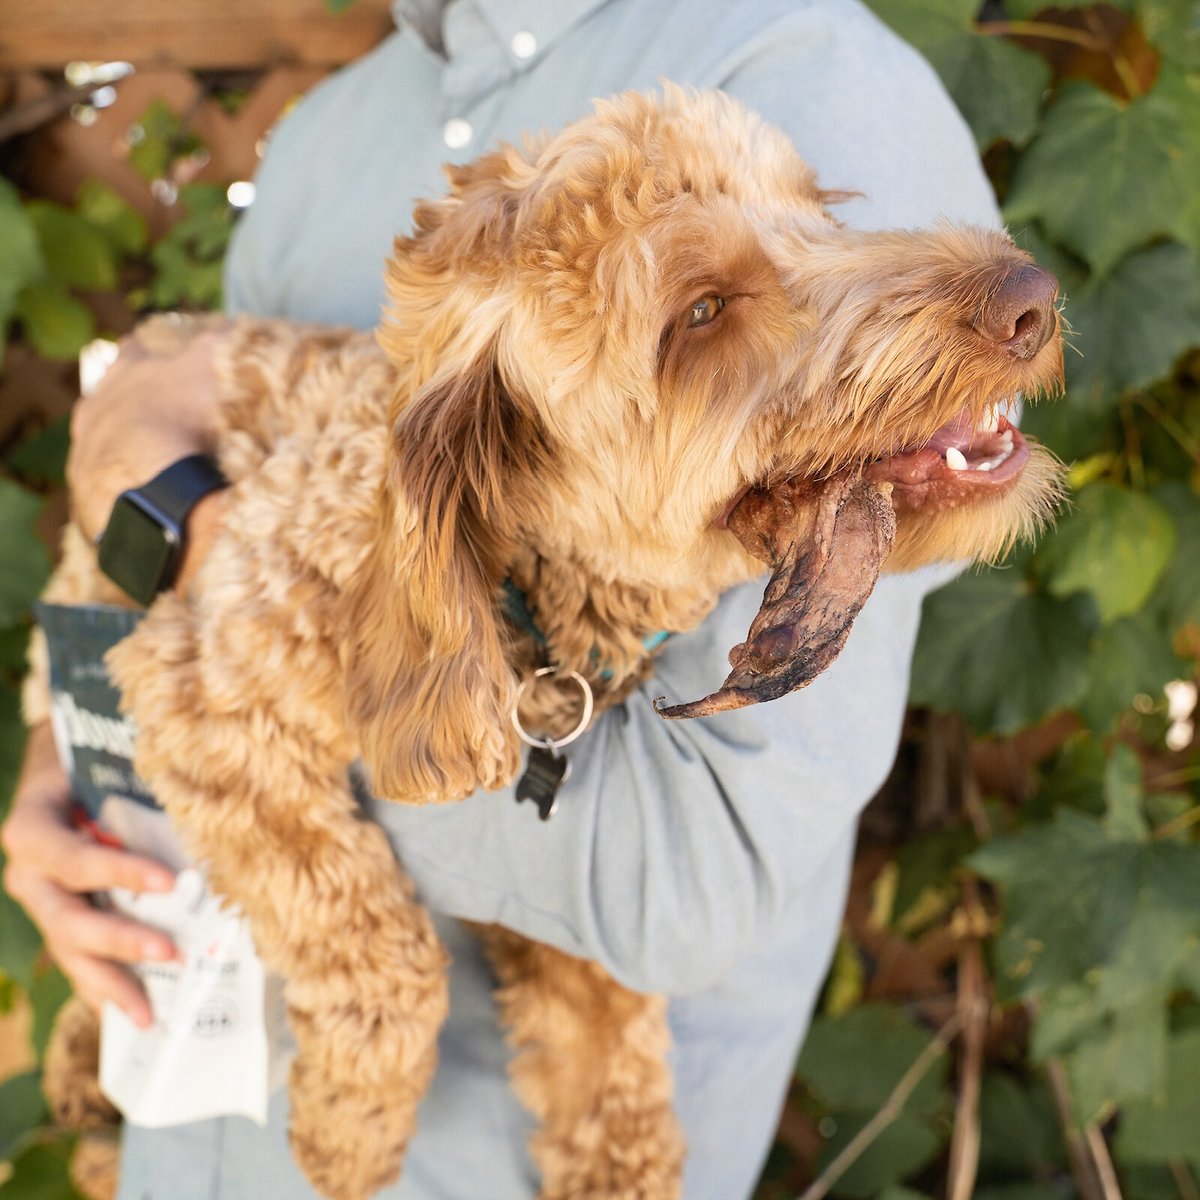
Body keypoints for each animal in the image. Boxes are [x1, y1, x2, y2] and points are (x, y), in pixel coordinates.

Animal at [25, 87, 1060, 1200]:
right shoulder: (204, 699)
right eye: (702, 312)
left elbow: (608, 1039)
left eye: (820, 210)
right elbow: (364, 930)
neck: (522, 589)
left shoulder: (583, 914)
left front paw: (618, 1157)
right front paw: (353, 1123)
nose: (1030, 295)